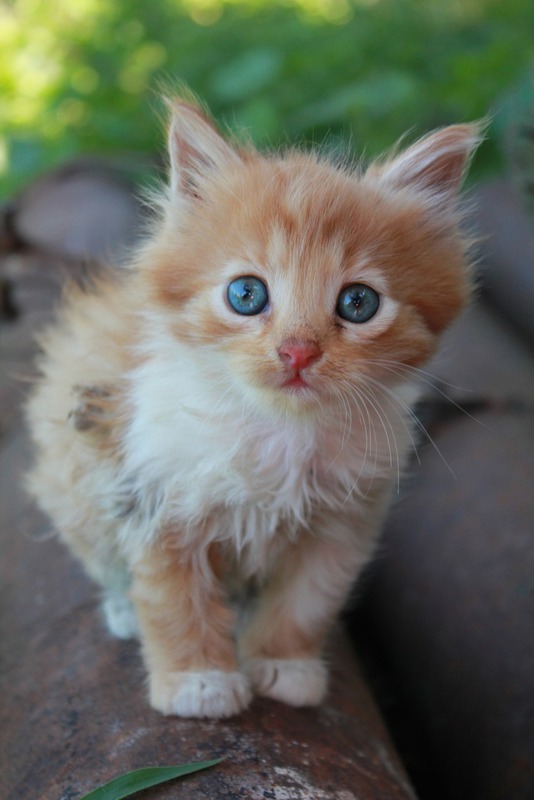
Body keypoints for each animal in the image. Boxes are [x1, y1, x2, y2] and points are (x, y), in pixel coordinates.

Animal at [26, 95, 482, 720]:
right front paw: (199, 684)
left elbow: (306, 603)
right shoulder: (155, 494)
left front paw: (285, 668)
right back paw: (122, 611)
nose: (297, 351)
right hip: (75, 481)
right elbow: (174, 600)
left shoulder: (343, 523)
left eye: (357, 303)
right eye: (246, 295)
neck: (280, 431)